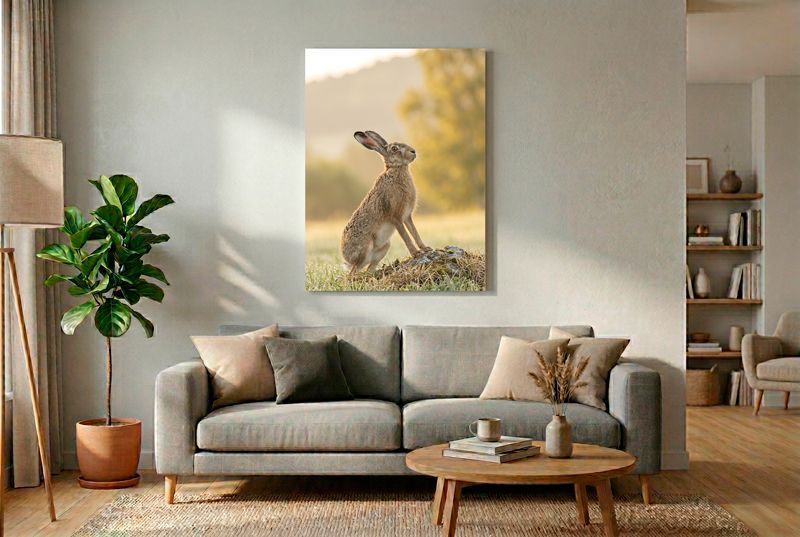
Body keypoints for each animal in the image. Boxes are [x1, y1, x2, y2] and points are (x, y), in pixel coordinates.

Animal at [341, 130, 431, 274]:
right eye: (394, 148)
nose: (413, 151)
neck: (397, 169)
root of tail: (347, 258)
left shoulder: (407, 216)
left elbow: (414, 232)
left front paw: (426, 248)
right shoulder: (395, 216)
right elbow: (406, 236)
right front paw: (415, 253)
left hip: (384, 247)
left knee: (368, 269)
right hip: (365, 249)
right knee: (352, 273)